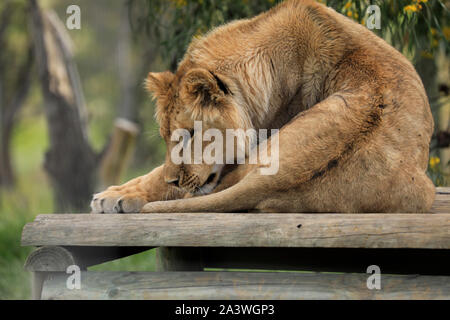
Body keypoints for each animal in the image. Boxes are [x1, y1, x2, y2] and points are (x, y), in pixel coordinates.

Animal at [89, 0, 434, 215]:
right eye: (165, 137)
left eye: (189, 134)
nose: (176, 180)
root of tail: (278, 178)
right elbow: (159, 171)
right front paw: (116, 193)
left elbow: (160, 175)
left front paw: (115, 196)